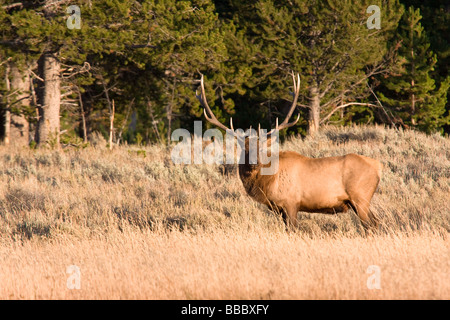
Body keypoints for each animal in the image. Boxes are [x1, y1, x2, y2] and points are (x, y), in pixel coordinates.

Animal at [195, 74, 382, 231]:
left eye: (262, 148)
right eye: (244, 148)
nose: (253, 163)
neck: (269, 182)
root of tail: (378, 168)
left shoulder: (291, 203)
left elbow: (293, 230)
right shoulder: (279, 209)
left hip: (361, 197)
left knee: (371, 225)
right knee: (376, 222)